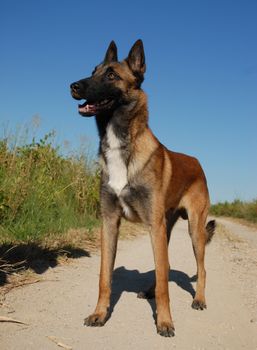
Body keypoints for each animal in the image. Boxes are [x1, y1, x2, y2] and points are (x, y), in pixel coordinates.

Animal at [69, 39, 214, 338]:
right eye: (93, 70)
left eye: (111, 75)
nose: (73, 86)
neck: (122, 143)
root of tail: (197, 162)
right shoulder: (110, 223)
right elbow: (105, 277)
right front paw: (100, 314)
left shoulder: (153, 227)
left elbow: (164, 286)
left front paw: (165, 322)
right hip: (165, 229)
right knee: (164, 267)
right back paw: (149, 291)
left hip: (193, 229)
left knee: (200, 269)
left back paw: (199, 299)